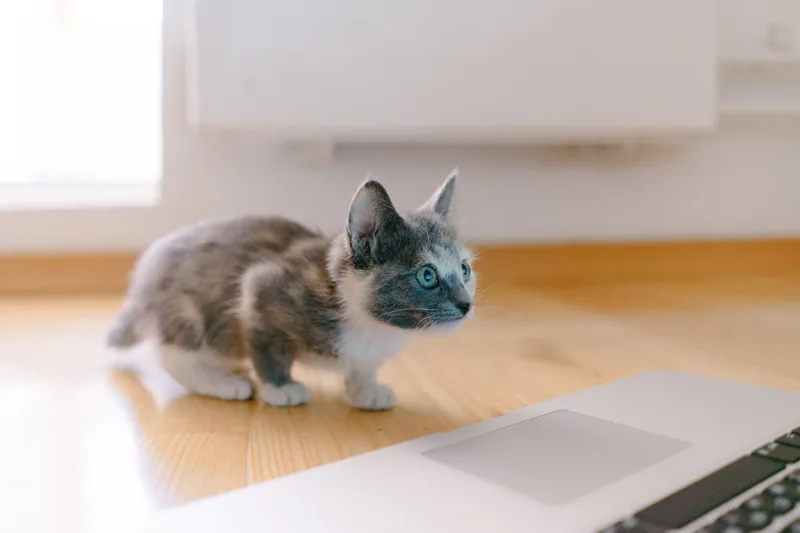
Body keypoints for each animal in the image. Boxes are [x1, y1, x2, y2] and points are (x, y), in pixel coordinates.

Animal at [109, 168, 478, 410]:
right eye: (427, 275)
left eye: (464, 270)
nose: (466, 304)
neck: (369, 325)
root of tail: (141, 284)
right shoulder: (262, 287)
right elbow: (268, 346)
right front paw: (279, 387)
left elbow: (362, 365)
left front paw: (366, 389)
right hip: (188, 309)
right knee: (170, 352)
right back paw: (222, 381)